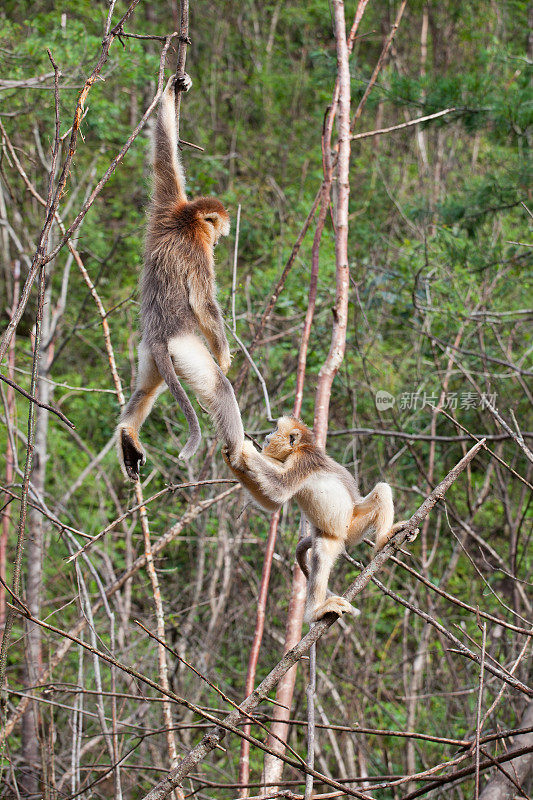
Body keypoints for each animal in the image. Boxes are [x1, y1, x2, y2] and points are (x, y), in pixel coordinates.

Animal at [117, 75, 244, 478]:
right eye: (216, 230)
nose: (220, 236)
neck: (186, 221)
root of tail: (160, 339)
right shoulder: (198, 250)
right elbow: (203, 302)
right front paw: (224, 356)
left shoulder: (168, 205)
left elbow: (163, 155)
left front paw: (173, 88)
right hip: (184, 349)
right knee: (218, 388)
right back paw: (237, 451)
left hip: (148, 354)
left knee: (145, 390)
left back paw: (127, 433)